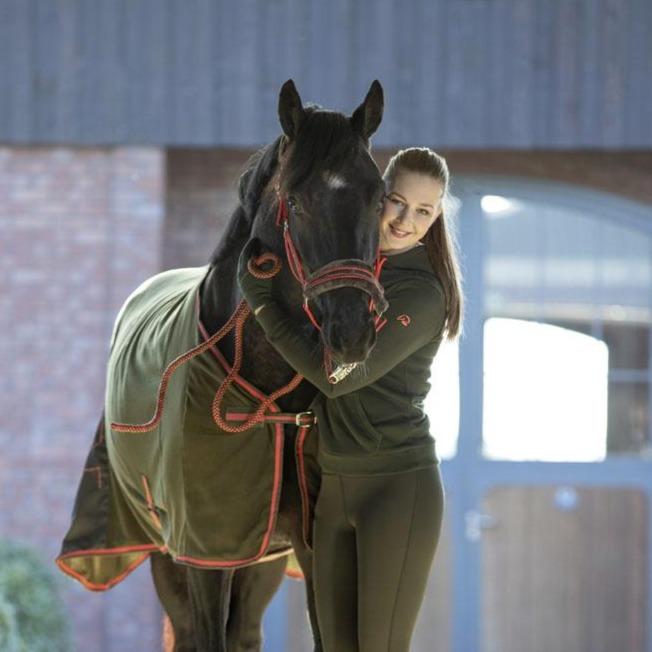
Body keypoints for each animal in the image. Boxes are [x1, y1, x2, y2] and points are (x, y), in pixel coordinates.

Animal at [57, 79, 386, 652]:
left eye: (379, 195)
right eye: (295, 200)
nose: (351, 331)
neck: (274, 405)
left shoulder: (312, 546)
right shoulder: (205, 551)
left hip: (262, 559)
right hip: (169, 555)